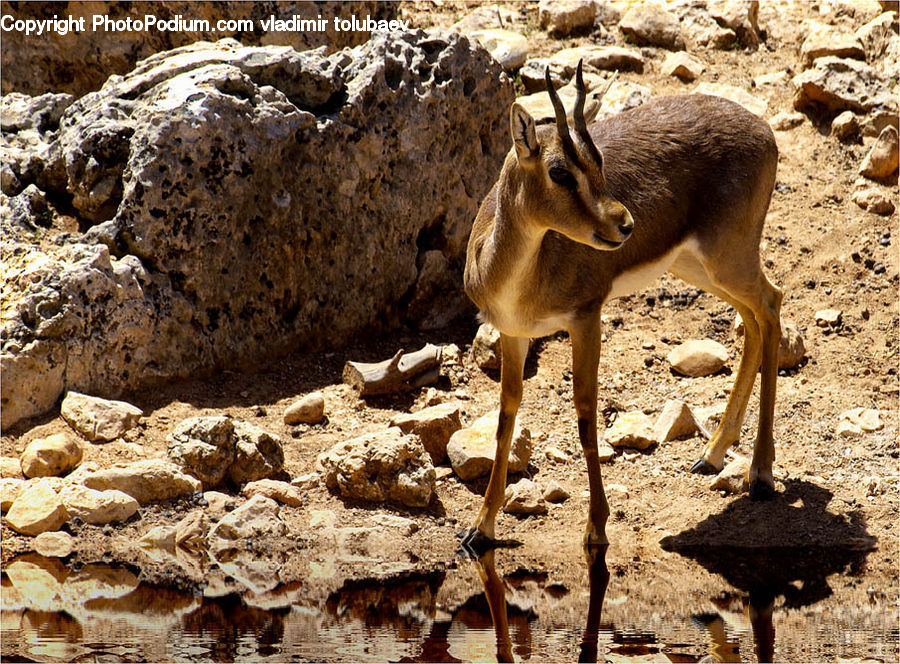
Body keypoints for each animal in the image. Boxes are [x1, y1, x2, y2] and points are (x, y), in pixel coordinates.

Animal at [461, 62, 782, 553]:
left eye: (597, 163)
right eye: (560, 171)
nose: (625, 224)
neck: (518, 279)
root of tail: (763, 129)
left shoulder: (586, 319)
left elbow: (586, 412)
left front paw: (596, 528)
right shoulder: (513, 333)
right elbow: (504, 418)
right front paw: (481, 527)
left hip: (727, 259)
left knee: (771, 303)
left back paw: (760, 474)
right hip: (698, 267)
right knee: (753, 320)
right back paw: (711, 455)